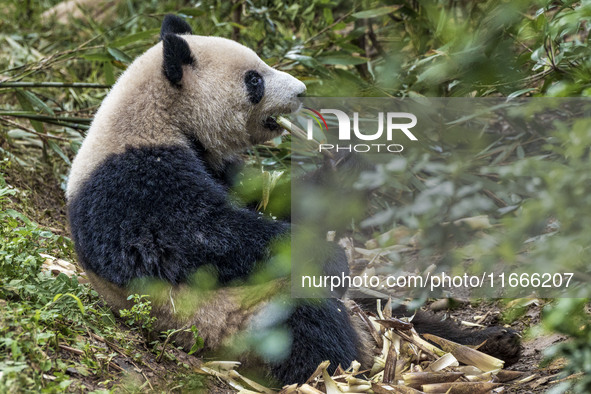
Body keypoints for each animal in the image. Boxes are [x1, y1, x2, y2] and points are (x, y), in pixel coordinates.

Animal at [67, 14, 520, 384]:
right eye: (254, 79)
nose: (302, 92)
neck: (162, 115)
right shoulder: (130, 179)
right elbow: (189, 237)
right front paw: (329, 256)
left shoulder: (218, 165)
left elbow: (272, 202)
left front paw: (350, 163)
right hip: (233, 321)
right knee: (307, 321)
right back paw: (347, 369)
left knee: (401, 313)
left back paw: (488, 342)